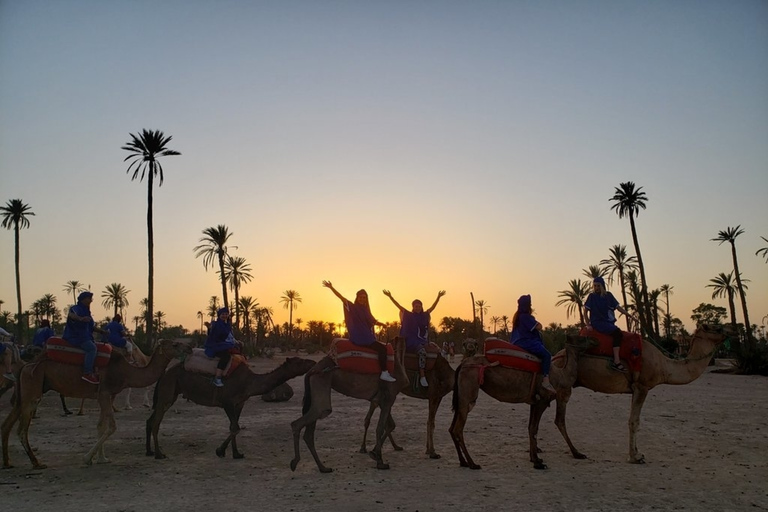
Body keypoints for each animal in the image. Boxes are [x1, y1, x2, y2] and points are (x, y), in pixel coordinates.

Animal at [1, 338, 190, 470]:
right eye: (175, 344)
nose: (189, 348)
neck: (126, 371)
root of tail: (26, 365)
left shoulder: (106, 396)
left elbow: (101, 426)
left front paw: (101, 458)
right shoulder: (105, 393)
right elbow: (111, 427)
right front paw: (87, 458)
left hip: (24, 393)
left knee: (7, 424)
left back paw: (8, 462)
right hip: (32, 390)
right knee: (21, 430)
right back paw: (37, 463)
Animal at [146, 356, 316, 460]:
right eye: (299, 361)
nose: (313, 362)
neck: (249, 382)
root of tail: (164, 373)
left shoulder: (239, 403)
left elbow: (234, 426)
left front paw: (236, 453)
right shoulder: (227, 402)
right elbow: (235, 427)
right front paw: (220, 451)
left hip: (171, 393)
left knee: (150, 420)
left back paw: (149, 451)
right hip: (168, 392)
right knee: (156, 422)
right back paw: (159, 454)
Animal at [288, 336, 408, 472]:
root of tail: (313, 369)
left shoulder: (382, 400)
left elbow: (390, 425)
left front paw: (376, 453)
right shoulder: (389, 397)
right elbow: (380, 428)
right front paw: (379, 461)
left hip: (316, 388)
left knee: (309, 432)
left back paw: (323, 467)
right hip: (321, 382)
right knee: (303, 421)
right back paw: (295, 462)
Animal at [448, 336, 592, 472]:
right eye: (581, 337)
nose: (593, 341)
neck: (560, 375)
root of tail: (462, 365)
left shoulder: (534, 401)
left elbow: (531, 427)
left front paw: (535, 458)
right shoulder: (543, 400)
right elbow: (538, 427)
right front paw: (539, 462)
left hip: (460, 396)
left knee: (452, 427)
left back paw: (463, 462)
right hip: (469, 390)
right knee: (458, 428)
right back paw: (473, 463)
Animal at [552, 324, 732, 464]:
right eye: (716, 328)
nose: (731, 331)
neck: (664, 366)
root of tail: (555, 356)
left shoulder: (635, 389)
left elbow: (634, 420)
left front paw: (637, 452)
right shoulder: (642, 387)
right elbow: (634, 421)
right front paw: (635, 457)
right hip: (563, 386)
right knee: (559, 419)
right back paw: (576, 453)